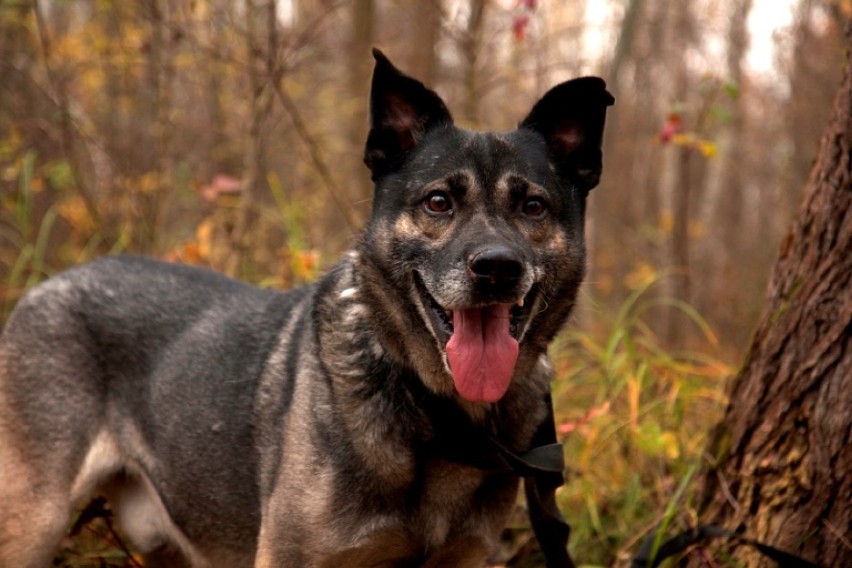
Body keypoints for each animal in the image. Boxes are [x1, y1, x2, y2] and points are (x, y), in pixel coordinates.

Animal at [0, 51, 612, 564]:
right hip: (32, 522)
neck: (437, 411)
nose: (497, 268)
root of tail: (44, 288)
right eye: (439, 202)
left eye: (533, 207)